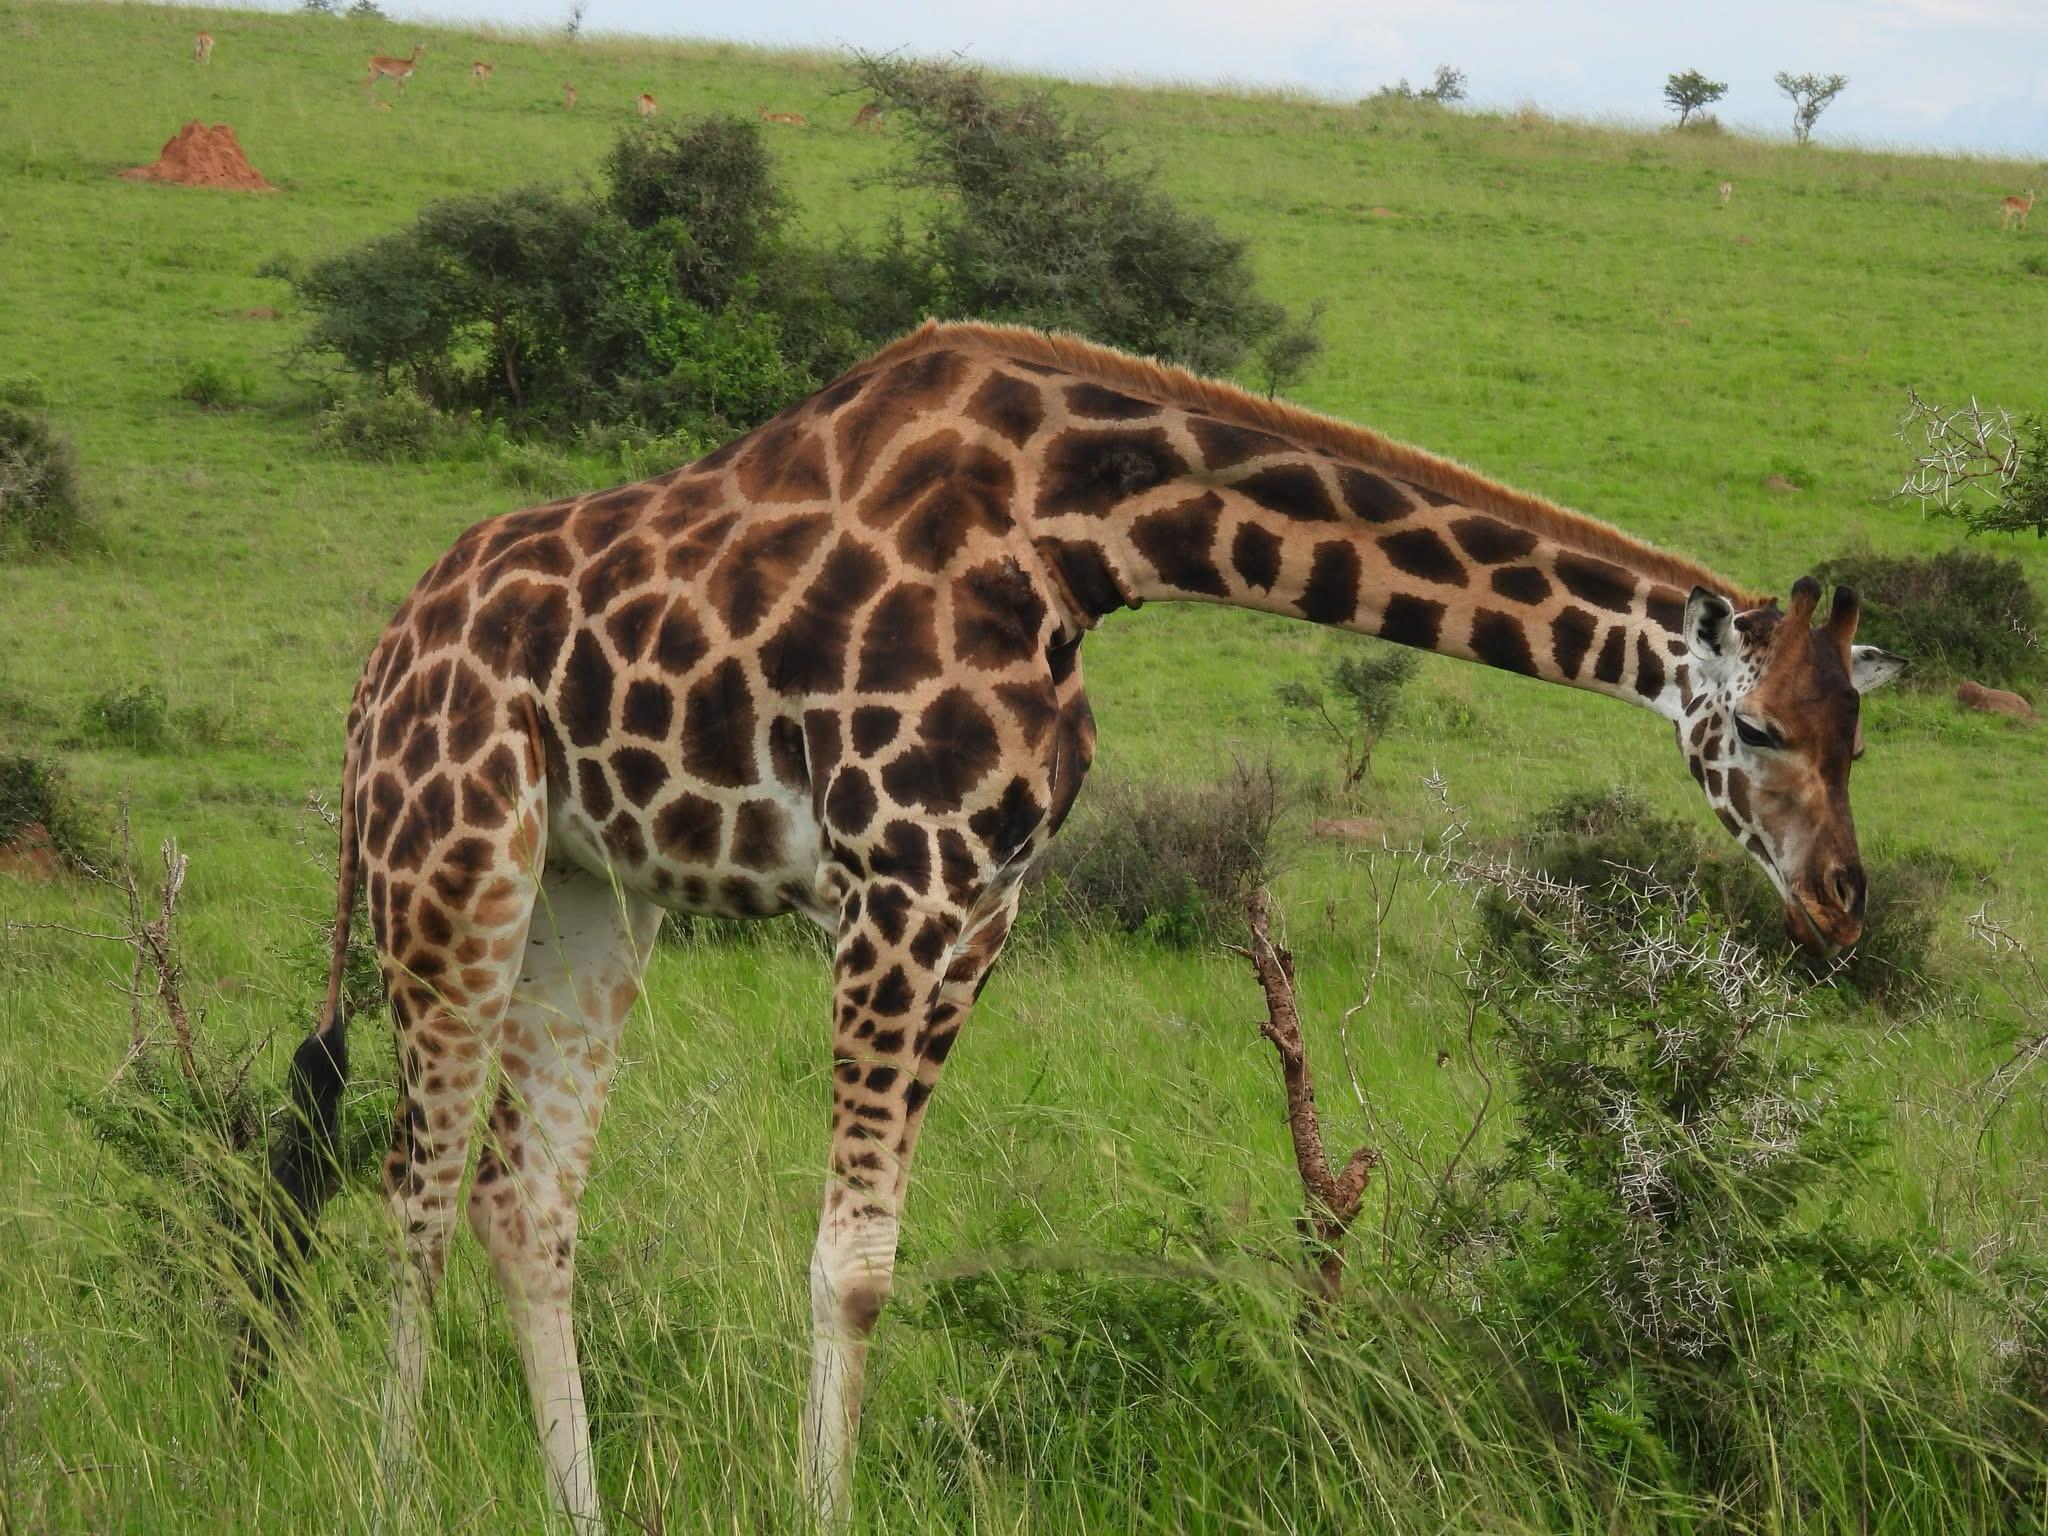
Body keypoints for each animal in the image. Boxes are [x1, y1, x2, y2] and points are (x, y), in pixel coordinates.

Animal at [264, 320, 1907, 1529]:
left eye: (1857, 738)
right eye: (1756, 729)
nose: (1840, 904)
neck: (1076, 538)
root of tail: (376, 671)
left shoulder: (983, 901)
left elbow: (873, 1256)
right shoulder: (900, 880)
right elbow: (850, 1264)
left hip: (594, 890)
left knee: (519, 1198)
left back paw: (580, 1510)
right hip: (453, 856)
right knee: (415, 1188)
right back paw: (391, 1490)